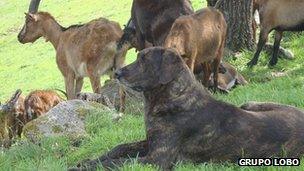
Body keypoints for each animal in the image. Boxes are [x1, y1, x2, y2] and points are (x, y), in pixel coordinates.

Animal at [70, 47, 304, 171]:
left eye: (144, 60)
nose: (117, 73)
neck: (173, 98)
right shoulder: (151, 142)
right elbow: (118, 149)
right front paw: (88, 160)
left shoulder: (157, 159)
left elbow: (119, 162)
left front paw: (82, 167)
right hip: (250, 104)